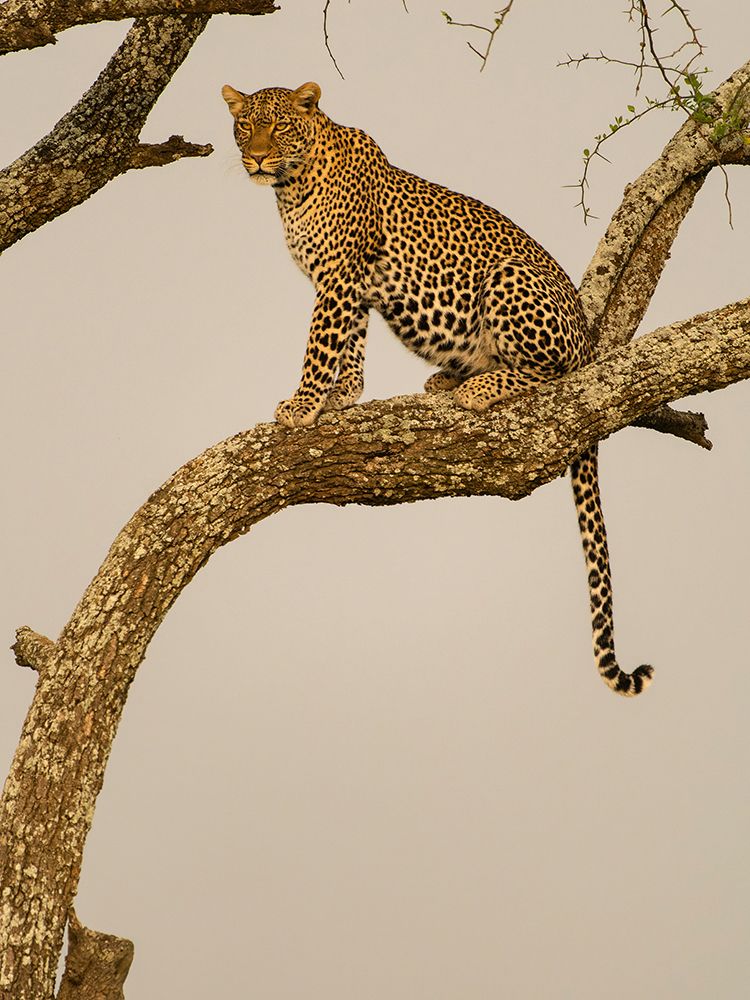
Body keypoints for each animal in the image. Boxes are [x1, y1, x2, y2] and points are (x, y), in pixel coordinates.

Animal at [222, 80, 654, 697]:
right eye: (244, 126)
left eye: (279, 126)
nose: (256, 158)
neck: (292, 185)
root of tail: (591, 339)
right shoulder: (354, 285)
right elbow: (350, 343)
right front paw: (343, 395)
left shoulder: (337, 279)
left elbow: (321, 344)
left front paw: (302, 405)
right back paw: (449, 378)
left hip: (509, 281)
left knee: (554, 371)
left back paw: (477, 388)